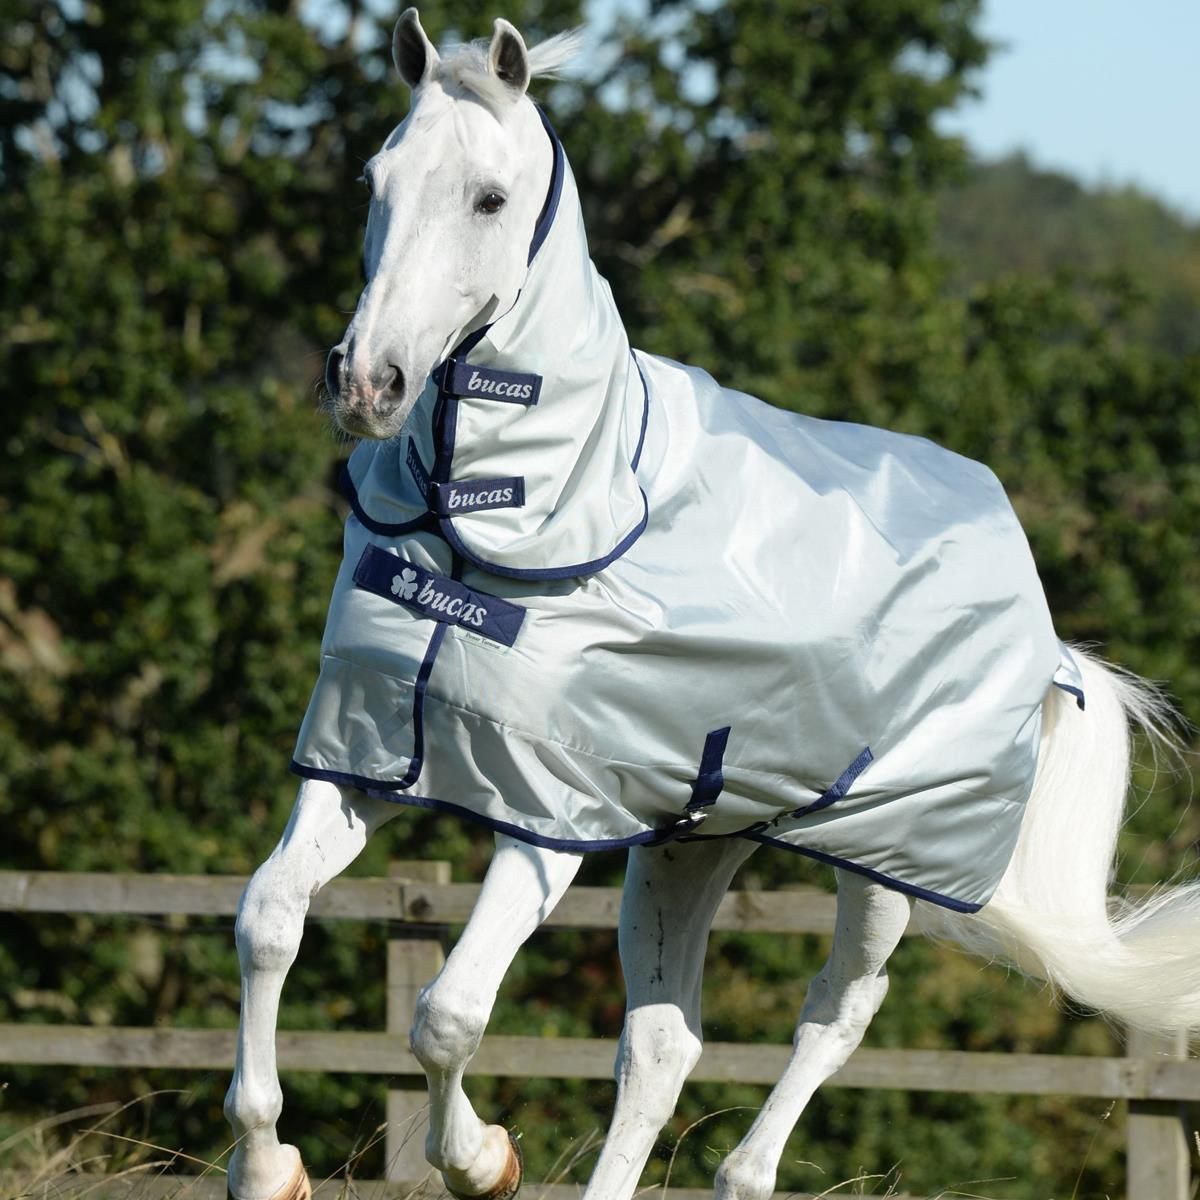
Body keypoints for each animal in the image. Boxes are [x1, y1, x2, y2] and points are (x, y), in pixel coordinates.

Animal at [222, 12, 1200, 1200]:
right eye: (376, 180)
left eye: (489, 198)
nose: (368, 383)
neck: (509, 509)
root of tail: (1045, 627)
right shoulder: (363, 754)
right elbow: (269, 918)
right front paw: (267, 1161)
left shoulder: (546, 815)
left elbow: (448, 1013)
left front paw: (483, 1159)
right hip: (693, 842)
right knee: (663, 1044)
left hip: (886, 863)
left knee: (837, 1016)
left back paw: (746, 1169)